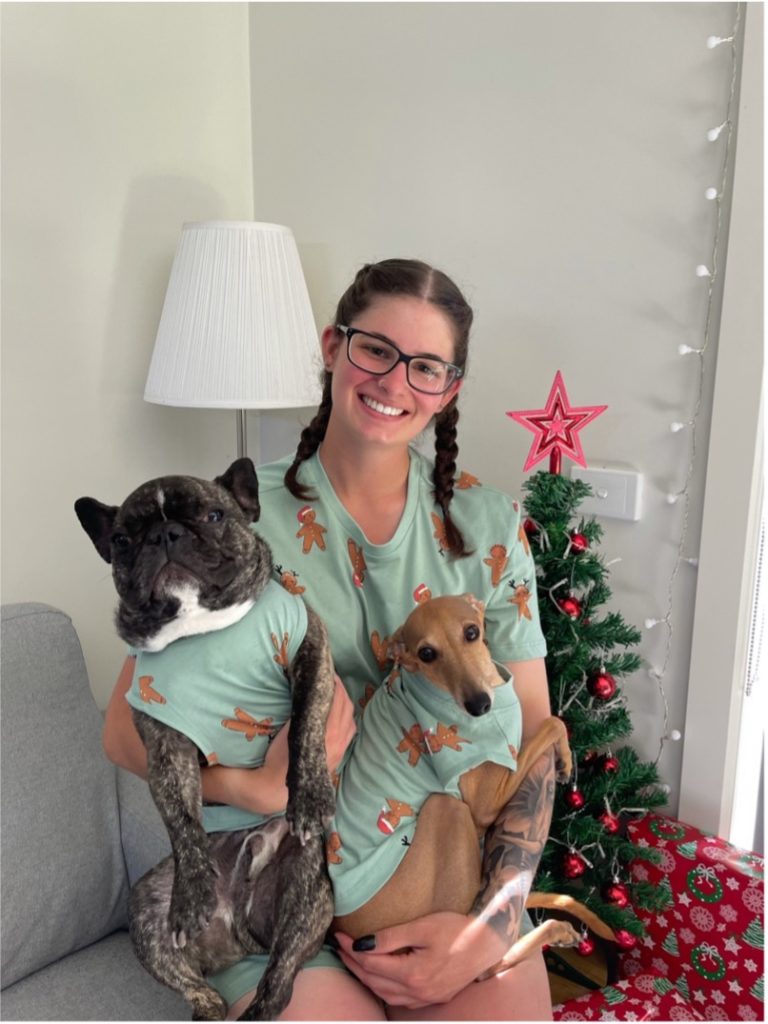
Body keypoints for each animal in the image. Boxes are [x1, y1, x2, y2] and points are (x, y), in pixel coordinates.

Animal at [75, 458, 336, 1021]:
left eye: (214, 515)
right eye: (124, 538)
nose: (165, 534)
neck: (203, 630)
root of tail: (236, 935)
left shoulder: (310, 649)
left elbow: (306, 726)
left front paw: (309, 793)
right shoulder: (162, 738)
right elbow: (180, 817)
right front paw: (193, 891)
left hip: (306, 890)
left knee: (280, 976)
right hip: (146, 908)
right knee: (199, 986)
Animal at [328, 594, 616, 969]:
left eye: (471, 632)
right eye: (427, 653)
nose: (479, 706)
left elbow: (553, 723)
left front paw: (566, 758)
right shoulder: (484, 805)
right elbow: (552, 722)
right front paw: (565, 758)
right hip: (447, 809)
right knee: (486, 950)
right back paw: (552, 930)